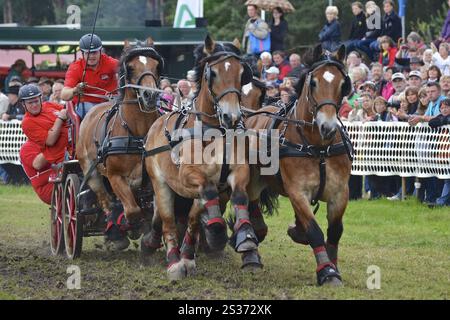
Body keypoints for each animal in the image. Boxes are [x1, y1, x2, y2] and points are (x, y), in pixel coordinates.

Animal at [142, 35, 258, 280]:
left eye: (242, 73)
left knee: (192, 220)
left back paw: (186, 255)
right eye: (212, 73)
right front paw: (217, 232)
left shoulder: (238, 171)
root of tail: (155, 124)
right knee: (168, 222)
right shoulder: (188, 175)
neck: (214, 132)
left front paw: (246, 237)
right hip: (161, 184)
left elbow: (239, 195)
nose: (231, 117)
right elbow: (209, 189)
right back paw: (175, 263)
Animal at [244, 43, 354, 286]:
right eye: (313, 83)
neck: (318, 147)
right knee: (253, 209)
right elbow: (315, 231)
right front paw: (327, 271)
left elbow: (335, 231)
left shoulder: (340, 192)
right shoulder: (297, 191)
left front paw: (333, 267)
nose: (327, 127)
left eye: (343, 84)